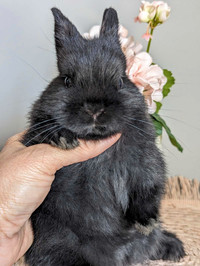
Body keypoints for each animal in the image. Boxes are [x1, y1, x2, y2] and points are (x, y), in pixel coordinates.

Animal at [22, 7, 184, 264]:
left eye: (120, 80)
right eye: (67, 80)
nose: (95, 109)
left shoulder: (146, 160)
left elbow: (148, 187)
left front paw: (146, 222)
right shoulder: (34, 134)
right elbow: (43, 131)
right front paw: (62, 138)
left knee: (153, 242)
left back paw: (173, 247)